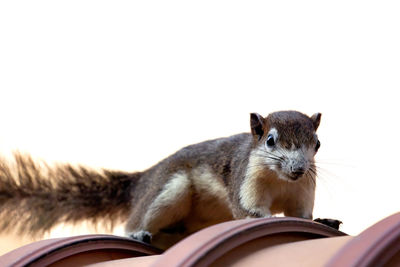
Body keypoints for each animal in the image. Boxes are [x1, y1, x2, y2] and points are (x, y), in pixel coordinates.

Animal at [0, 110, 322, 249]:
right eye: (270, 141)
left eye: (317, 143)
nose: (298, 168)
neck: (282, 181)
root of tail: (143, 180)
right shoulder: (244, 181)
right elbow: (250, 211)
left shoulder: (303, 190)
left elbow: (300, 214)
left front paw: (322, 220)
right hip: (168, 189)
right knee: (136, 220)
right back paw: (137, 233)